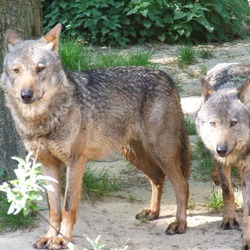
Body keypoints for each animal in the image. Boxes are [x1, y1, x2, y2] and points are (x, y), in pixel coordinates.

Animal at [0, 23, 191, 250]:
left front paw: (62, 239)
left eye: (40, 69)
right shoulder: (47, 164)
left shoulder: (75, 162)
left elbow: (68, 206)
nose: (26, 95)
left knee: (181, 184)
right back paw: (153, 212)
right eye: (16, 70)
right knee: (158, 178)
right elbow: (53, 208)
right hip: (133, 154)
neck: (43, 120)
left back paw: (180, 223)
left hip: (160, 151)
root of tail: (165, 76)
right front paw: (49, 236)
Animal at [195, 63, 250, 249]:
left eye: (233, 123)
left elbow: (248, 208)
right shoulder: (221, 161)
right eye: (213, 123)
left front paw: (247, 238)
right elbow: (227, 192)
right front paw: (229, 219)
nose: (221, 149)